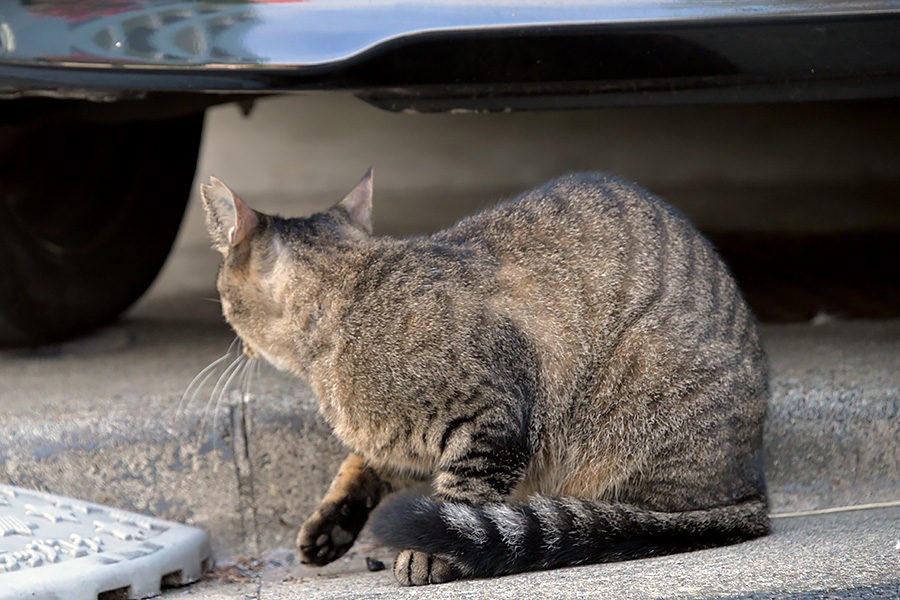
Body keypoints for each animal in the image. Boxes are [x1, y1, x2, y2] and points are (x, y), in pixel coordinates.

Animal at [202, 169, 768, 584]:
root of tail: (753, 484)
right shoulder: (400, 436)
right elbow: (366, 461)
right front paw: (329, 526)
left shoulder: (493, 417)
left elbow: (463, 491)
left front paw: (432, 552)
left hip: (636, 382)